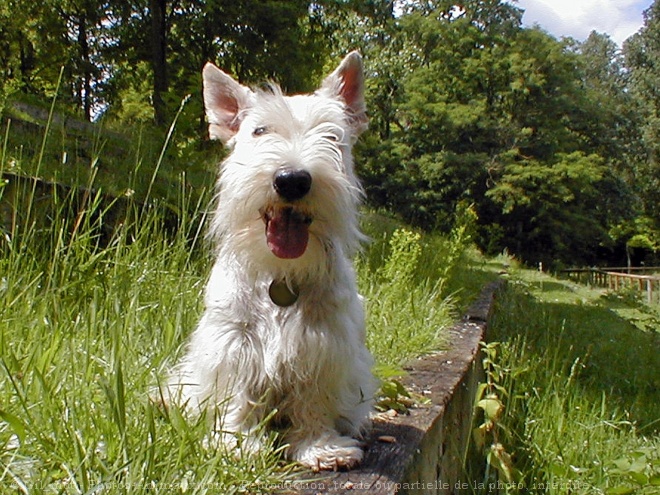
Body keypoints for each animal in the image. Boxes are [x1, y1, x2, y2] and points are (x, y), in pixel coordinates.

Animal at [168, 52, 376, 470]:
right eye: (259, 131)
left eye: (332, 136)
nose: (292, 179)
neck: (280, 273)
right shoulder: (234, 340)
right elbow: (236, 394)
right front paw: (235, 442)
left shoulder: (323, 344)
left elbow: (314, 398)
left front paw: (320, 446)